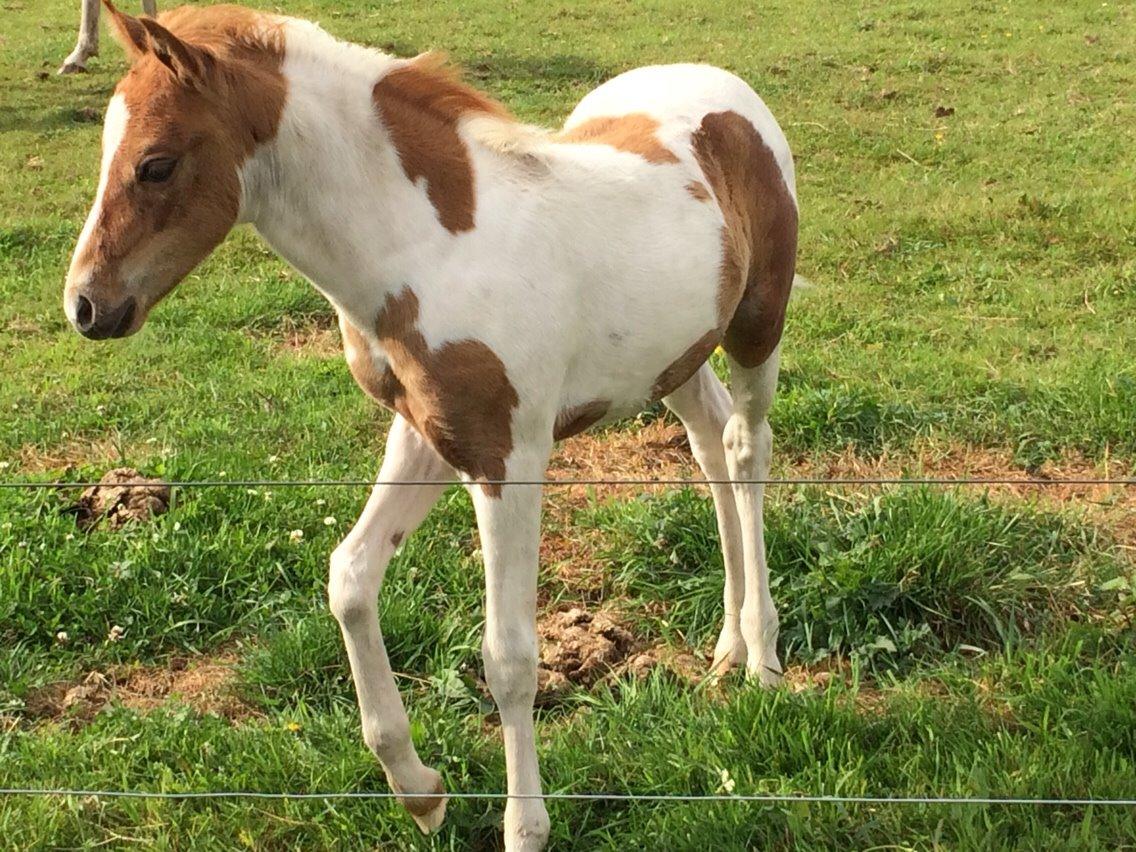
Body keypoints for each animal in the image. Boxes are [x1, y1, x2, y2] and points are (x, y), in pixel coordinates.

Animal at [64, 3, 799, 849]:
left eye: (155, 165)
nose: (84, 304)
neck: (426, 250)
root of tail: (723, 86)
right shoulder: (425, 434)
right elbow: (350, 578)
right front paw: (418, 788)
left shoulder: (508, 456)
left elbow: (509, 656)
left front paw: (524, 829)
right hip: (674, 355)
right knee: (708, 440)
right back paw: (727, 648)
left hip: (757, 323)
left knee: (744, 448)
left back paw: (763, 659)